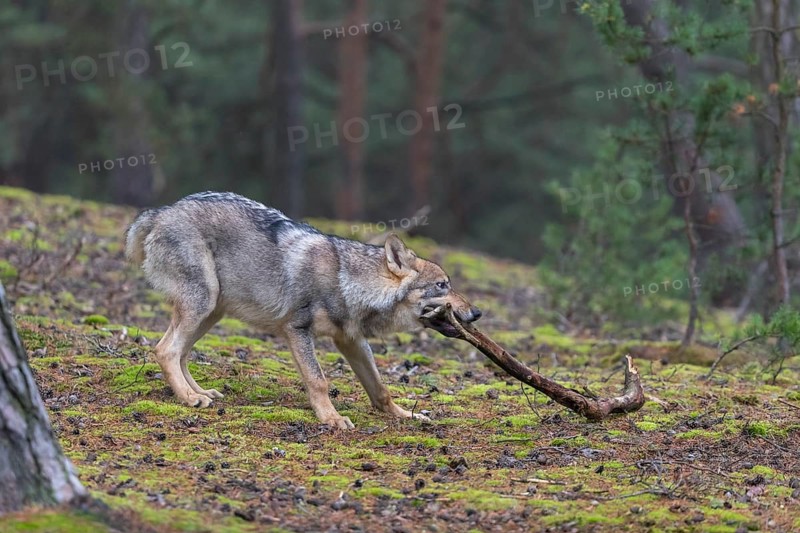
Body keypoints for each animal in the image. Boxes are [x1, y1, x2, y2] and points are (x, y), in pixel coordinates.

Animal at [125, 192, 482, 429]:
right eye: (442, 285)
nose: (477, 313)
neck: (347, 282)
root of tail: (161, 211)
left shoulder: (351, 341)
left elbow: (380, 388)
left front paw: (406, 415)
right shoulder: (296, 330)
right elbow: (318, 380)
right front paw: (332, 418)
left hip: (211, 312)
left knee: (181, 352)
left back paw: (199, 391)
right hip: (202, 304)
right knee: (165, 350)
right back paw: (189, 399)